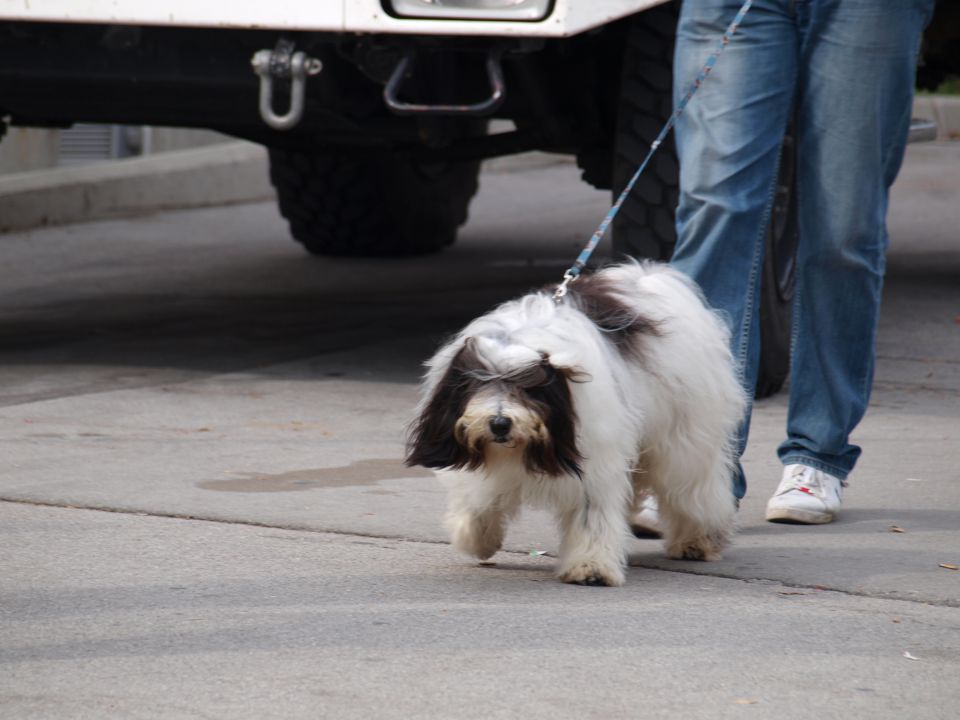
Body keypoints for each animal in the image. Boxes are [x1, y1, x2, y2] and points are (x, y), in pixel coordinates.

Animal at [404, 262, 744, 588]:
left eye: (529, 388)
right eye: (478, 384)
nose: (500, 423)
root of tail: (648, 280)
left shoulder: (596, 457)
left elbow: (591, 513)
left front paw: (591, 567)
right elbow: (479, 498)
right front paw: (479, 538)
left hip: (684, 439)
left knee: (693, 488)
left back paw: (697, 539)